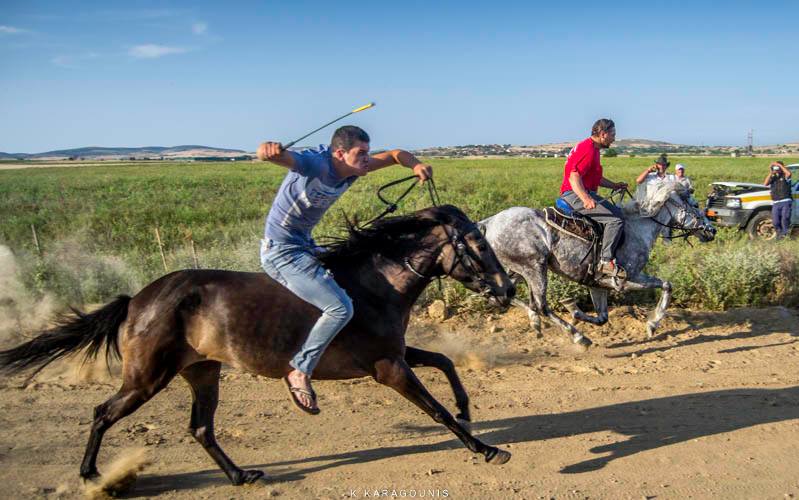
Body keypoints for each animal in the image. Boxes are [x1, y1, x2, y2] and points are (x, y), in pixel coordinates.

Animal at [0, 204, 515, 487]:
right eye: (478, 243)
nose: (507, 289)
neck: (376, 283)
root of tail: (137, 299)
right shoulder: (387, 367)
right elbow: (435, 409)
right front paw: (485, 448)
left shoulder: (393, 355)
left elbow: (443, 362)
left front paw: (468, 407)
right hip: (146, 377)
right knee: (103, 413)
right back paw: (92, 475)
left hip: (202, 372)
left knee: (201, 429)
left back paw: (240, 475)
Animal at [480, 181, 716, 348]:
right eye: (695, 205)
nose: (711, 230)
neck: (637, 228)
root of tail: (489, 222)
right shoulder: (625, 280)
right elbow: (667, 285)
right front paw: (652, 324)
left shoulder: (598, 285)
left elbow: (602, 317)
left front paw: (573, 308)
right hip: (534, 268)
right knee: (540, 305)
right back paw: (578, 338)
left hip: (515, 270)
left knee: (501, 296)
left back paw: (535, 322)